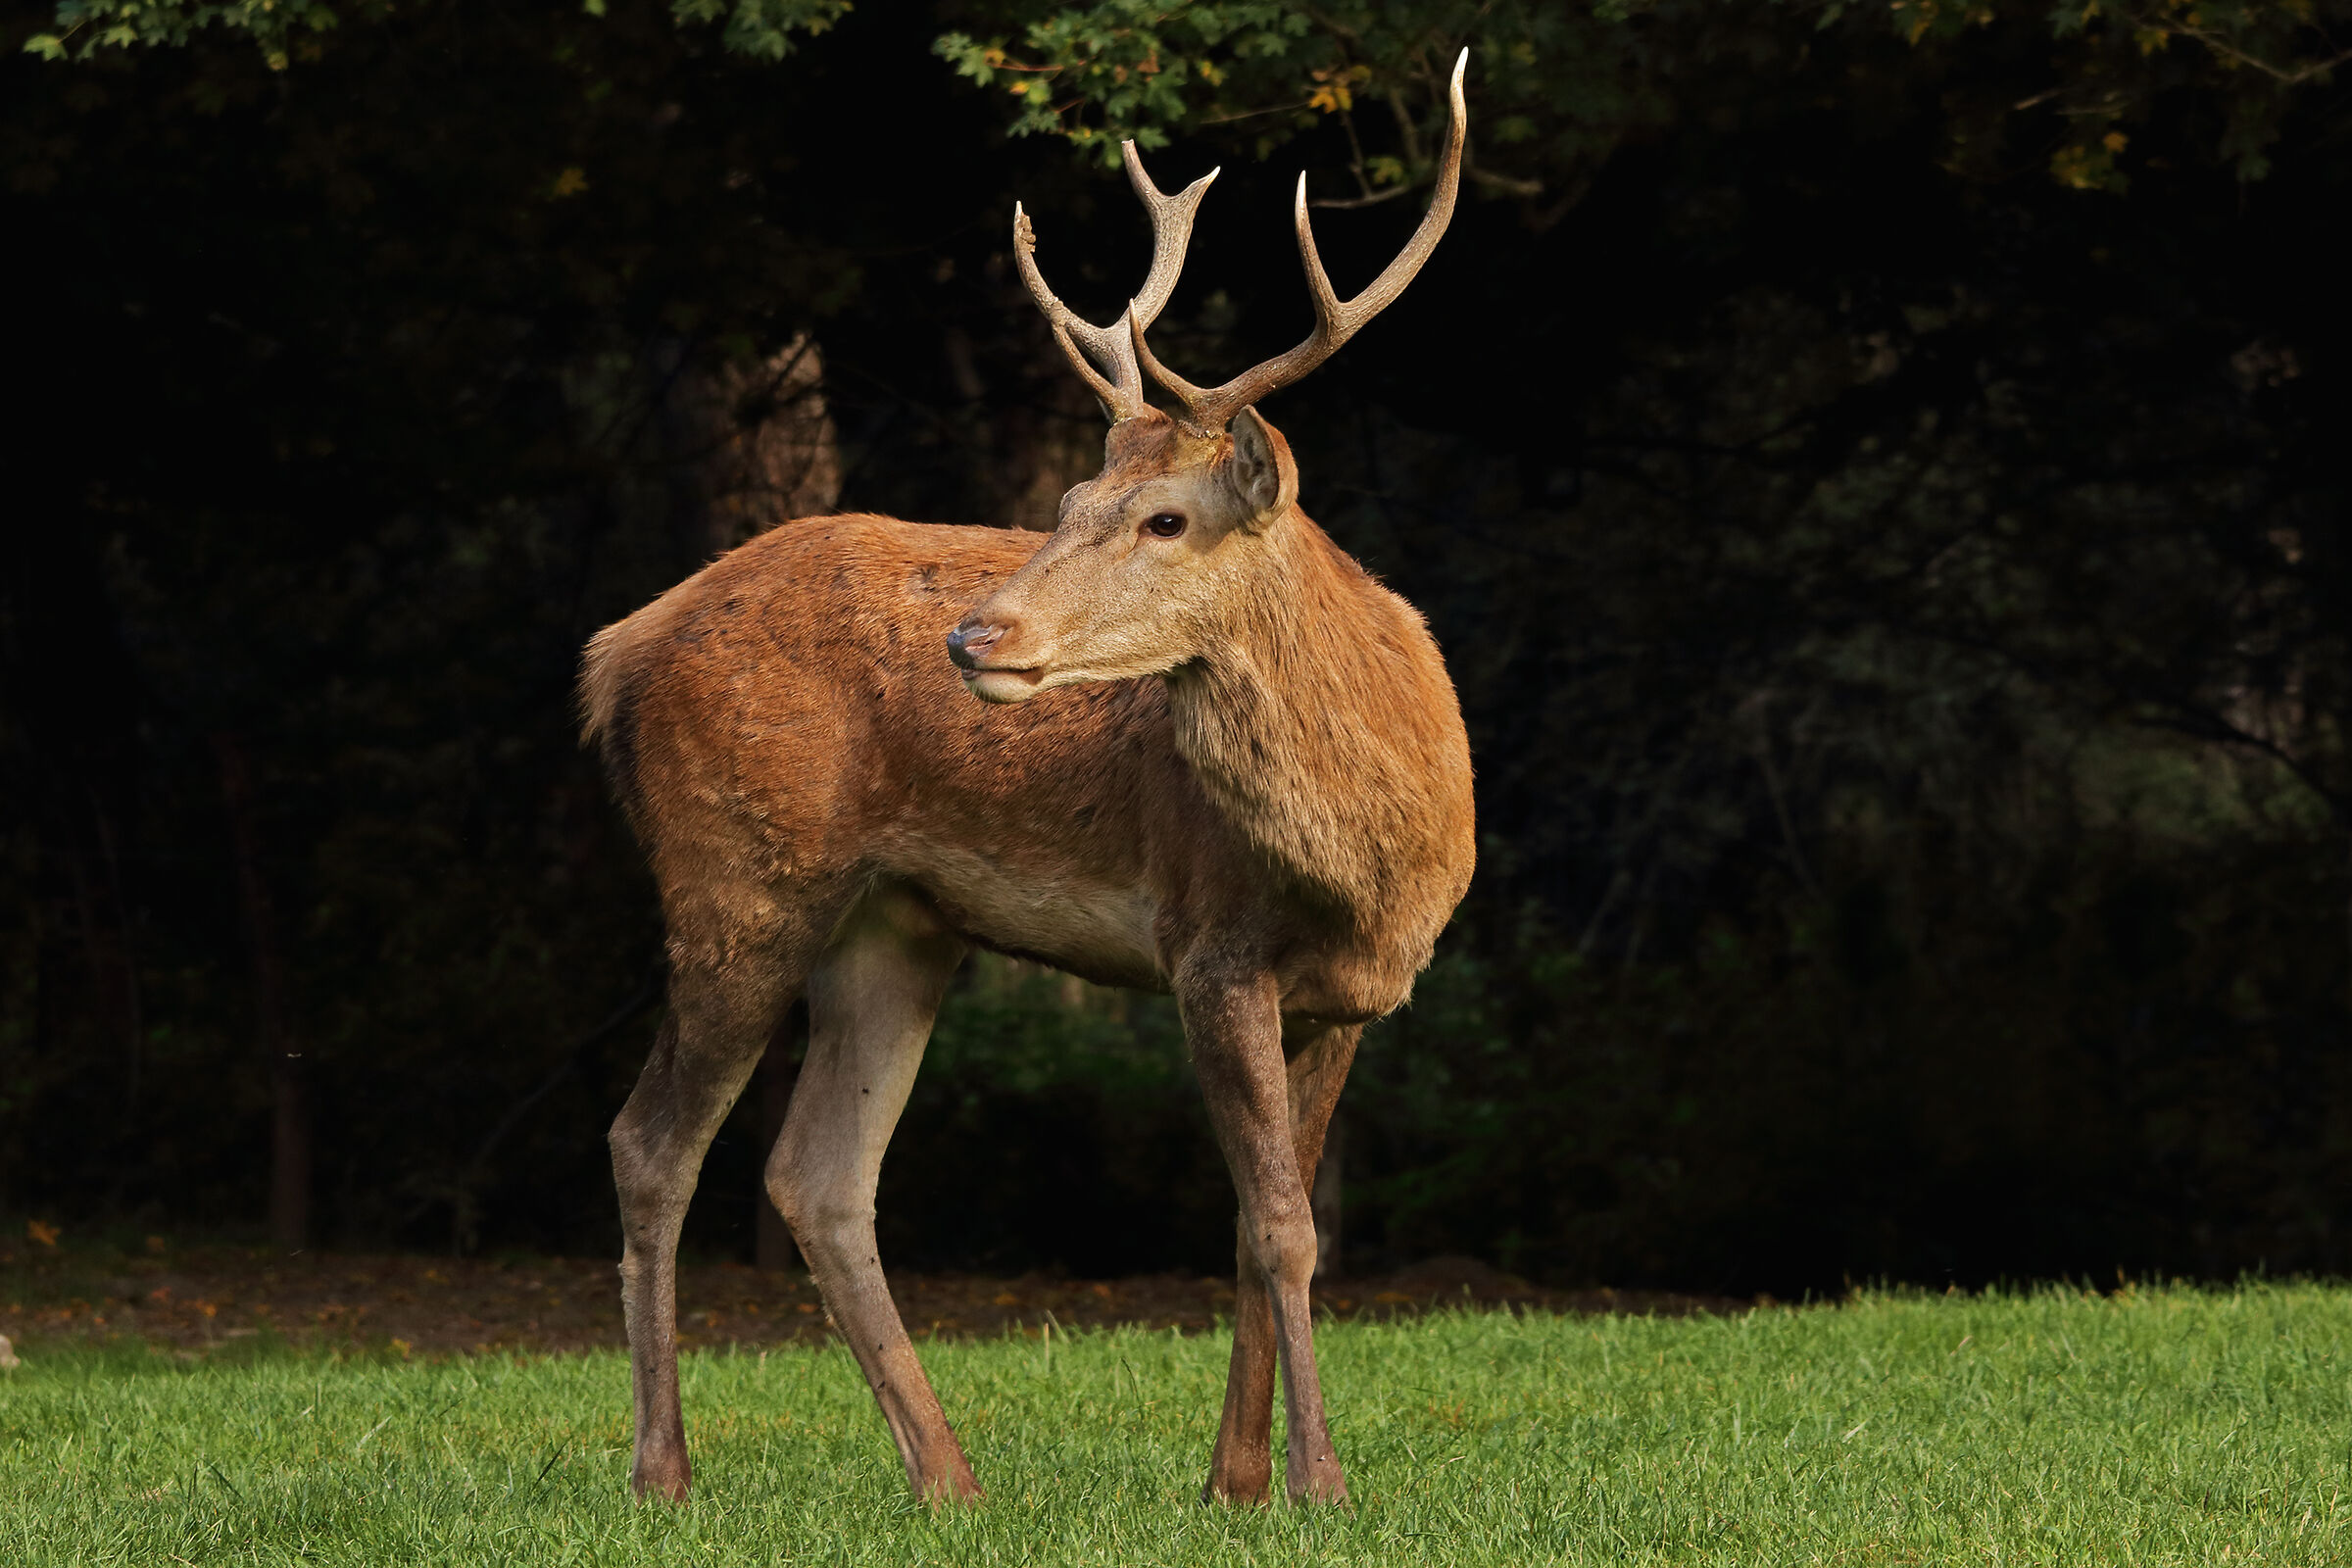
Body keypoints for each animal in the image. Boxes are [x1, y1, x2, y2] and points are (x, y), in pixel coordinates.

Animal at [579, 51, 1475, 1510]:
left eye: (1164, 518)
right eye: (1061, 507)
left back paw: (947, 1476)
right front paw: (1319, 1485)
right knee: (653, 1140)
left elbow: (1263, 1223)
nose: (974, 638)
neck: (1373, 849)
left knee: (818, 1172)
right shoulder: (1208, 945)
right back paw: (667, 1473)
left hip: (894, 923)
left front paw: (1233, 1482)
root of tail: (618, 654)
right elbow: (1283, 1227)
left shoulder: (1355, 993)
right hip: (738, 878)